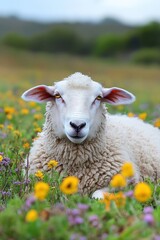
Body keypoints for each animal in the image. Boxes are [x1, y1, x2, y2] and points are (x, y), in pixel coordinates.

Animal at [21, 71, 160, 199]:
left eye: (98, 98)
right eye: (57, 95)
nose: (77, 125)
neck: (76, 165)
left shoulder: (126, 181)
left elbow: (97, 195)